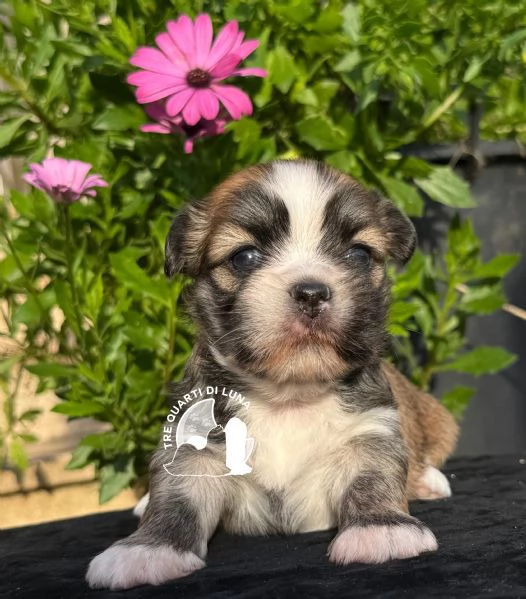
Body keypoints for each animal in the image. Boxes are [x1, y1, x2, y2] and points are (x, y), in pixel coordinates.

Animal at [85, 159, 458, 592]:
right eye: (245, 257)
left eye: (359, 254)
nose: (312, 292)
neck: (287, 395)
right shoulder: (197, 445)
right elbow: (175, 497)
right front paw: (148, 549)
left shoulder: (370, 429)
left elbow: (373, 478)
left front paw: (382, 530)